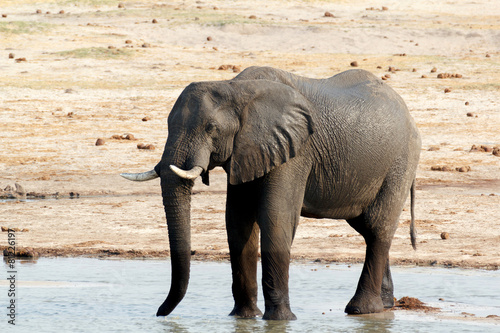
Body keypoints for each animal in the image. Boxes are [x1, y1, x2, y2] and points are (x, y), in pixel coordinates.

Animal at [121, 65, 422, 320]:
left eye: (211, 128)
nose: (160, 313)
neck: (236, 89)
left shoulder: (295, 151)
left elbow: (276, 218)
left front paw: (280, 320)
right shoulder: (246, 150)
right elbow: (238, 222)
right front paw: (242, 318)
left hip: (400, 161)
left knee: (377, 227)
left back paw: (361, 310)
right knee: (366, 229)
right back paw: (385, 306)